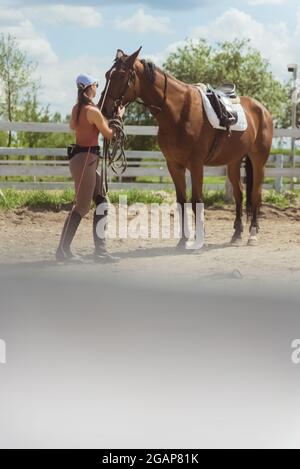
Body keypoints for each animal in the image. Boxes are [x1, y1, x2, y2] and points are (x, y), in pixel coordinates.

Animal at [99, 46, 274, 249]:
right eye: (107, 75)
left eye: (120, 75)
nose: (103, 109)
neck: (178, 112)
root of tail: (262, 109)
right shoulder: (174, 165)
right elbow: (181, 201)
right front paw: (183, 240)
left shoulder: (196, 165)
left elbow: (196, 200)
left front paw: (198, 240)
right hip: (233, 162)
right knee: (239, 194)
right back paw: (237, 233)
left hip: (259, 161)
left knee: (255, 195)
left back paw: (253, 234)